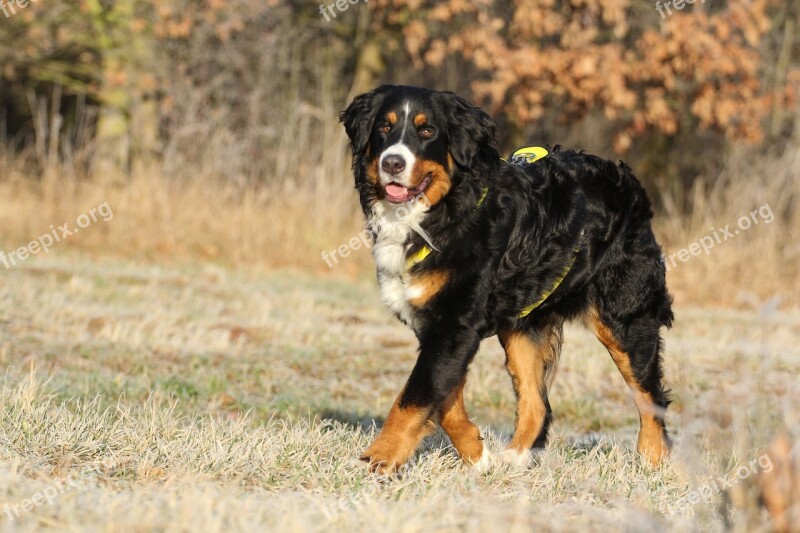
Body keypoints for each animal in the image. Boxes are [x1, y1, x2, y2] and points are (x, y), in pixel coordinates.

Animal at [340, 85, 676, 472]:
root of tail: (626, 180)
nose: (392, 162)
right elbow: (444, 400)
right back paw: (514, 460)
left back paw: (652, 462)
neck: (444, 211)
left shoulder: (454, 325)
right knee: (537, 403)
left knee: (649, 396)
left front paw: (377, 461)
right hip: (522, 326)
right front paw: (477, 456)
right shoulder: (440, 328)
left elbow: (413, 398)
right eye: (384, 128)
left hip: (624, 319)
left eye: (427, 131)